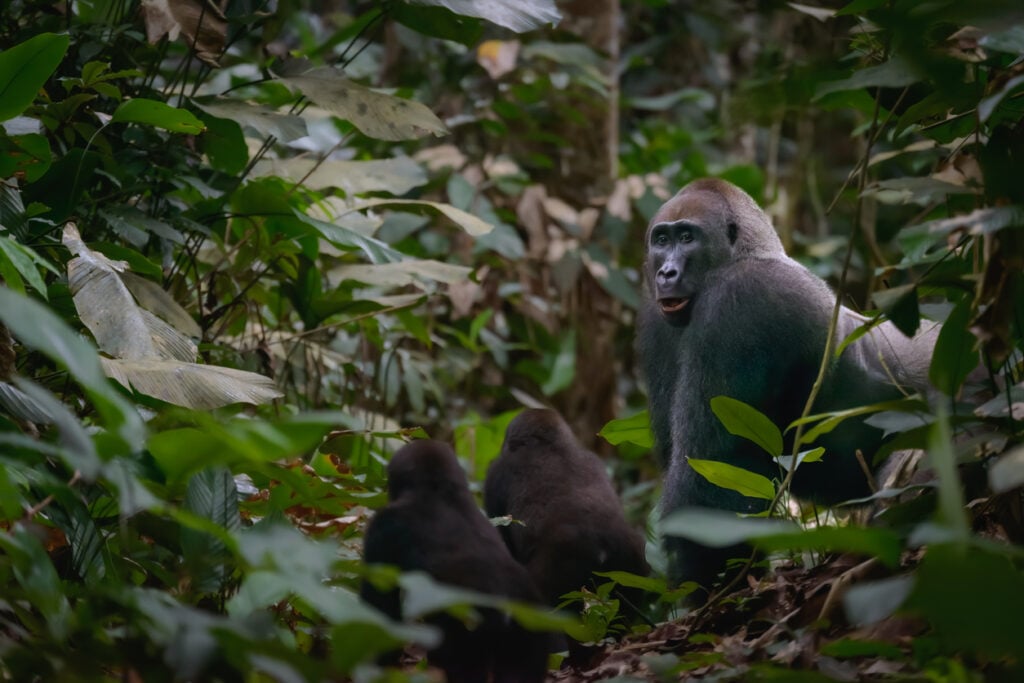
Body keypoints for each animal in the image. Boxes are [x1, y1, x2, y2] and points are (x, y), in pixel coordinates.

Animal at [637, 178, 938, 597]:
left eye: (687, 237)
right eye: (661, 240)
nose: (666, 272)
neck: (747, 253)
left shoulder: (742, 300)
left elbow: (705, 478)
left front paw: (713, 593)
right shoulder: (657, 321)